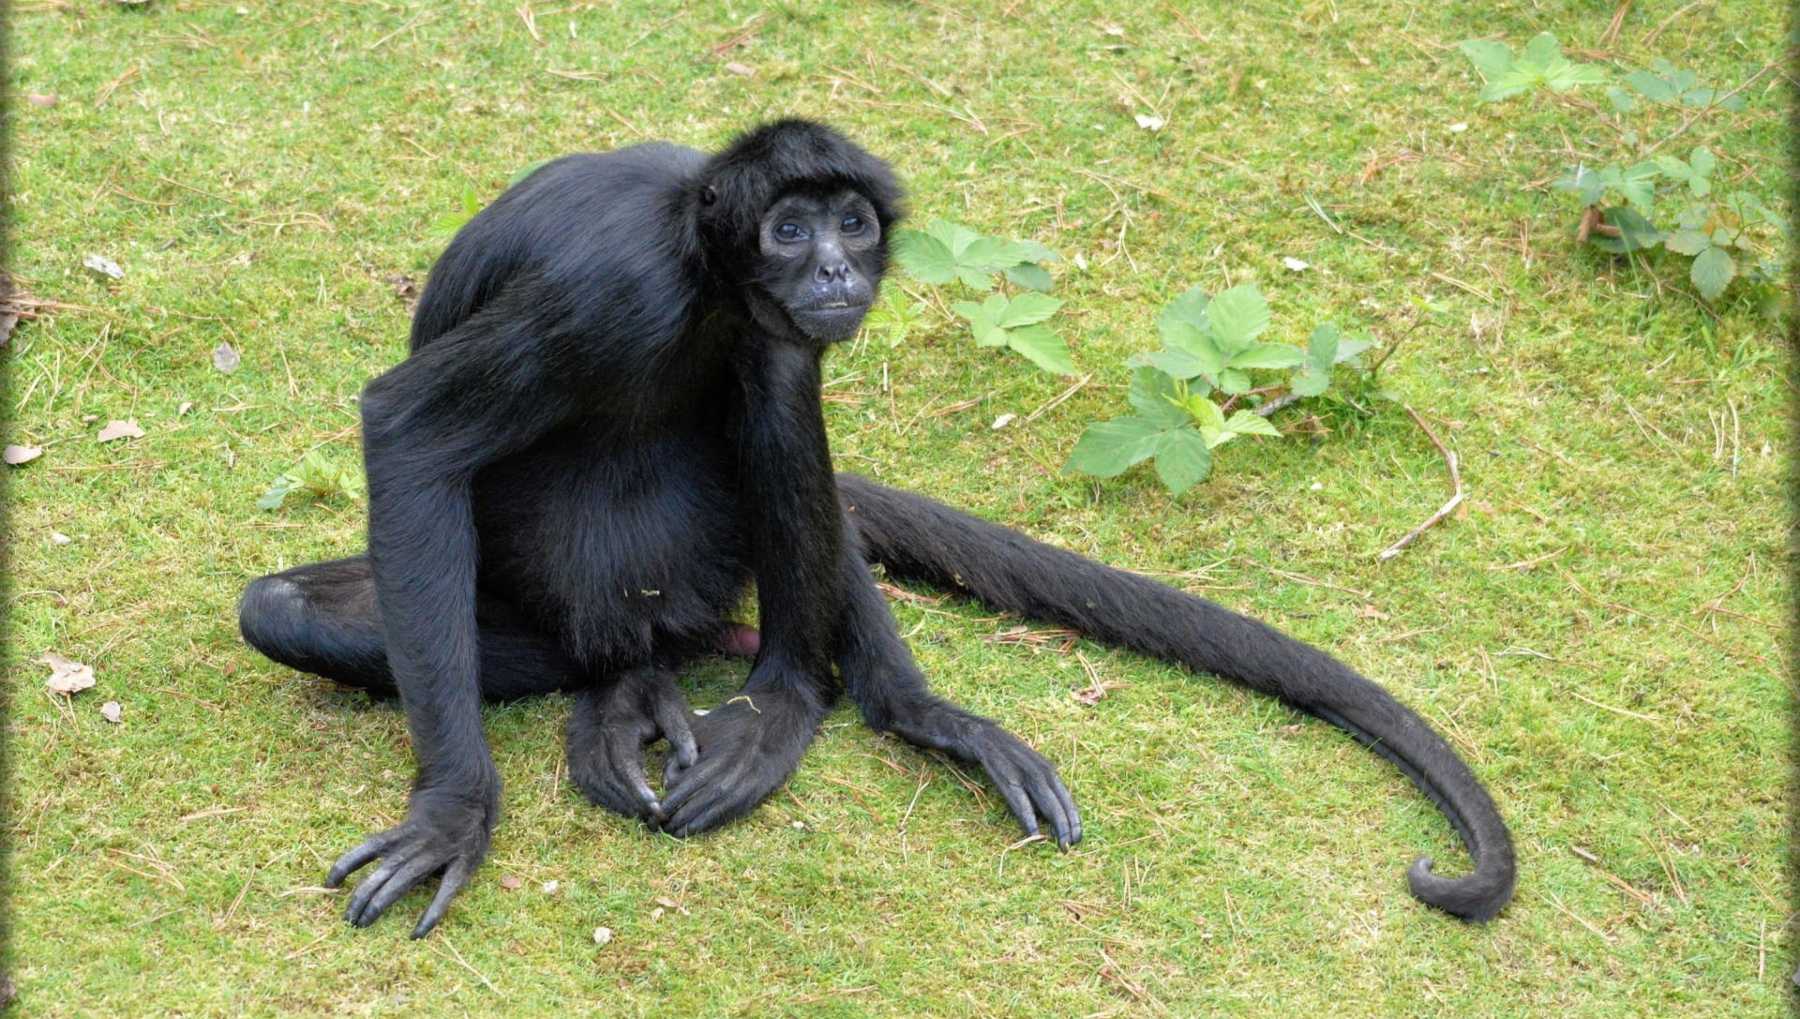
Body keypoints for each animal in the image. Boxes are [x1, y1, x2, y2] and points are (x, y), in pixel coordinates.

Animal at [239, 116, 1519, 936]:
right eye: (791, 232)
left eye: (852, 225)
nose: (836, 272)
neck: (702, 258)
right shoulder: (616, 289)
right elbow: (406, 429)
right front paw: (453, 813)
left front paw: (907, 710)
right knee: (286, 608)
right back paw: (635, 683)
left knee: (774, 387)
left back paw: (802, 701)